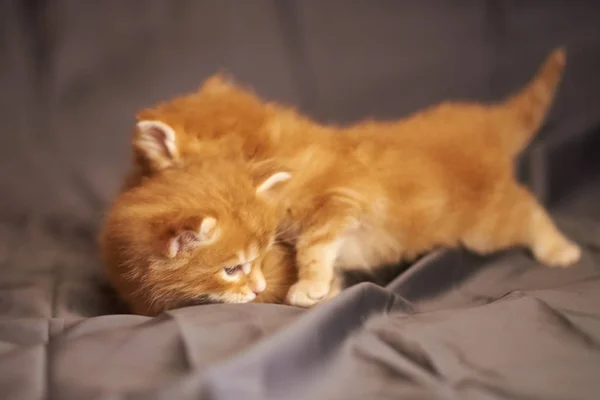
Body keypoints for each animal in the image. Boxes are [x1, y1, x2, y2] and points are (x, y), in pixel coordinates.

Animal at [124, 47, 580, 310]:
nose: (131, 181)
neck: (268, 145)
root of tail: (488, 123)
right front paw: (328, 288)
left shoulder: (342, 199)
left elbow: (313, 245)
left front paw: (308, 287)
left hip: (485, 224)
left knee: (528, 209)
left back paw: (561, 250)